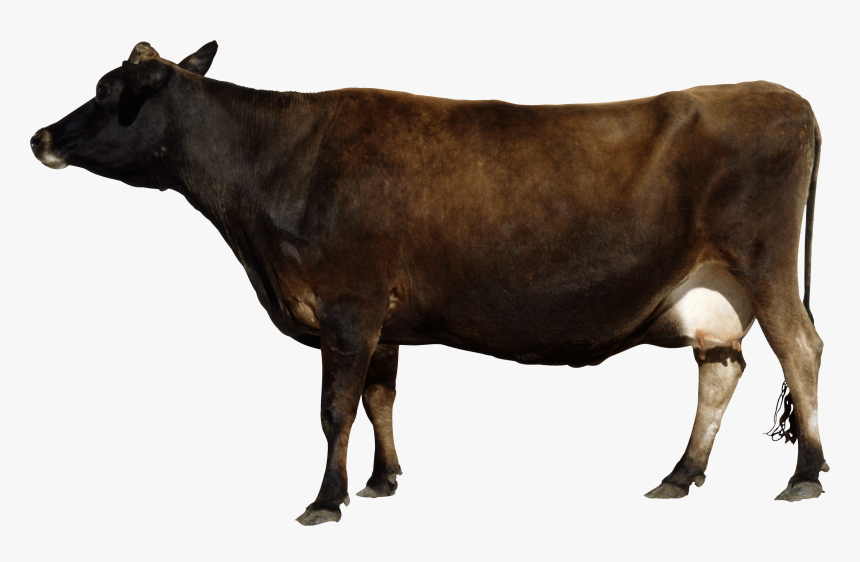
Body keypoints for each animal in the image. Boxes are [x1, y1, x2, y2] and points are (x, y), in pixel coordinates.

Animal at [31, 41, 827, 525]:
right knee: (721, 365)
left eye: (108, 91)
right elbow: (380, 398)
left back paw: (806, 473)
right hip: (713, 292)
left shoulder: (347, 305)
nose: (40, 137)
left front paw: (327, 500)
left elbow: (335, 410)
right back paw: (679, 474)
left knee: (801, 349)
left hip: (764, 263)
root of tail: (785, 96)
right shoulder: (380, 319)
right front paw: (382, 481)